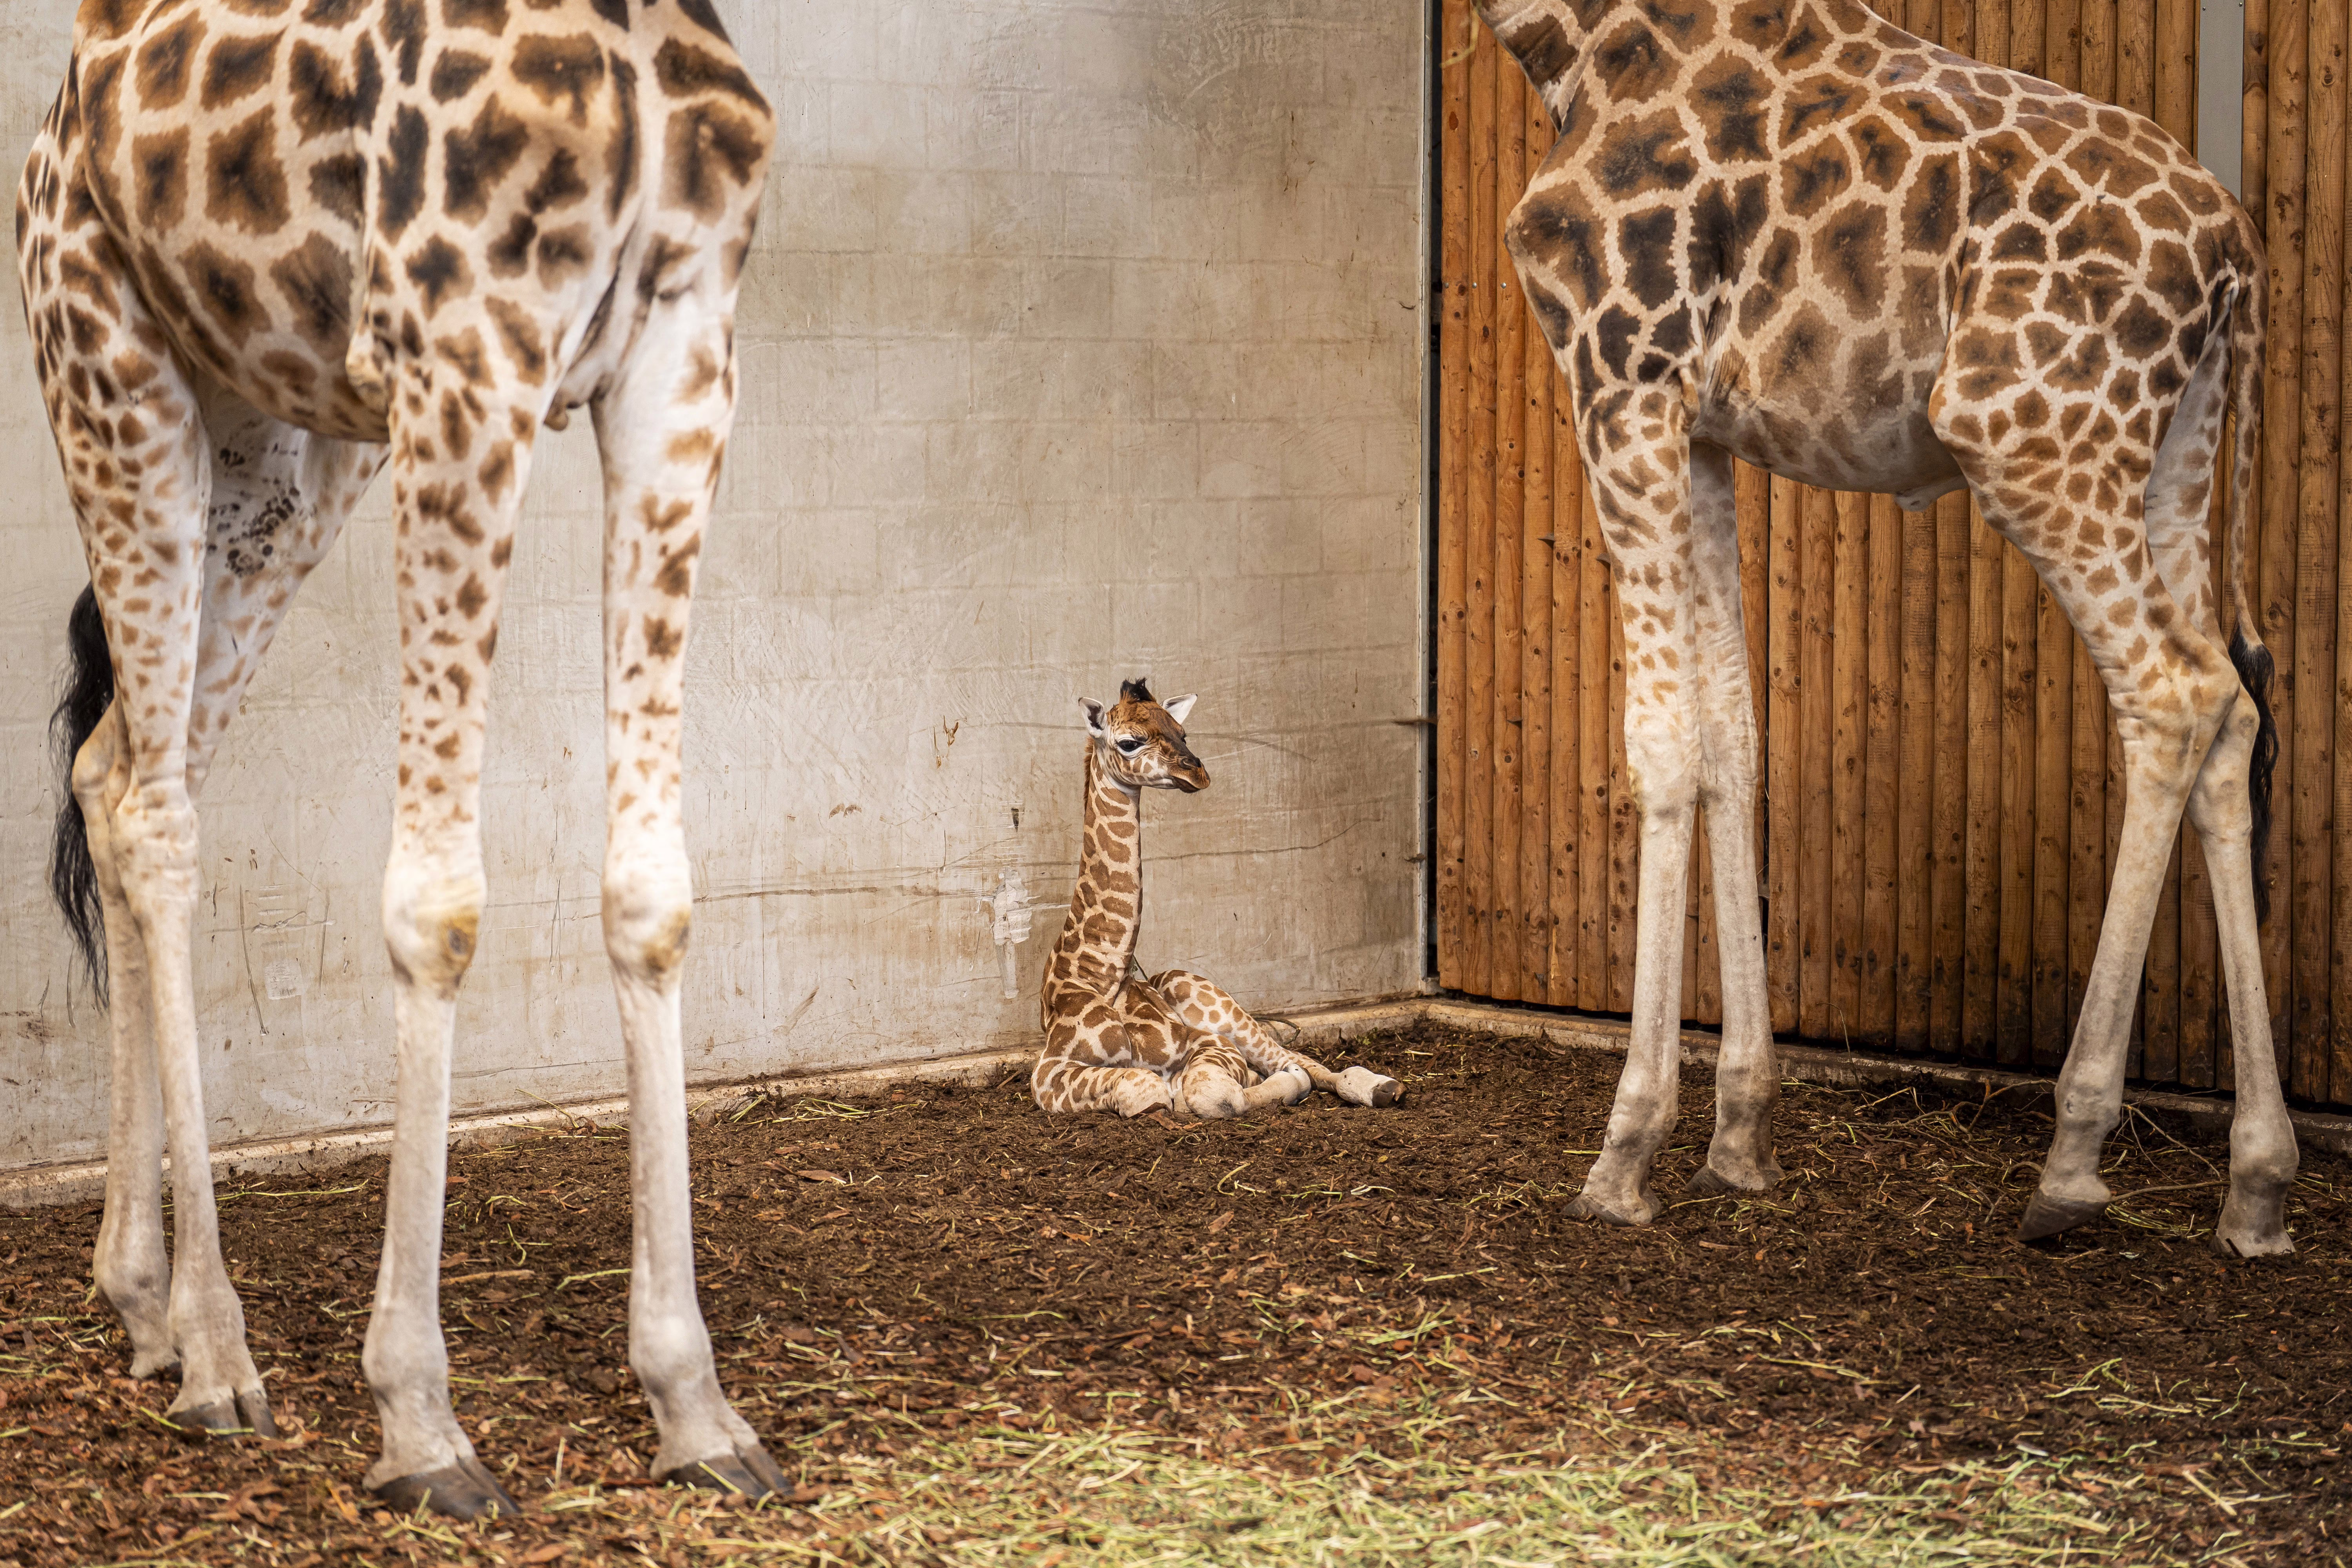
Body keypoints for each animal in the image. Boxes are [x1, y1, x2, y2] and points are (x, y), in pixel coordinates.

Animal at [26, 0, 777, 1518]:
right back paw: (216, 1350)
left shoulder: (684, 356)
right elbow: (440, 907)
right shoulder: (466, 362)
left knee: (121, 770)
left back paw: (142, 1302)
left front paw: (694, 1403)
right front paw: (420, 1417)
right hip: (113, 384)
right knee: (157, 815)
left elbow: (654, 895)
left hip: (283, 446)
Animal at [1030, 679, 1404, 1120]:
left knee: (1299, 1059)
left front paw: (1277, 1085)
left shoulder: (1206, 1041)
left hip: (1218, 1006)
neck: (1103, 975)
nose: (1198, 772)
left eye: (1183, 732)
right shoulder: (1048, 1071)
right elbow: (1148, 1086)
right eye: (1129, 742)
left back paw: (1382, 1086)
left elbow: (1216, 1091)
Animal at [1469, 0, 2294, 1255]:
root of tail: (2238, 255)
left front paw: (1627, 1152)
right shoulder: (1702, 430)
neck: (1575, 42)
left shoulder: (1626, 377)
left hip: (2029, 437)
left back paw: (2071, 1160)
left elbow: (1660, 743)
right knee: (2232, 712)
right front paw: (1740, 1136)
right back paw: (2256, 1181)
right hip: (2177, 455)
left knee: (2174, 697)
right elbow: (1734, 729)